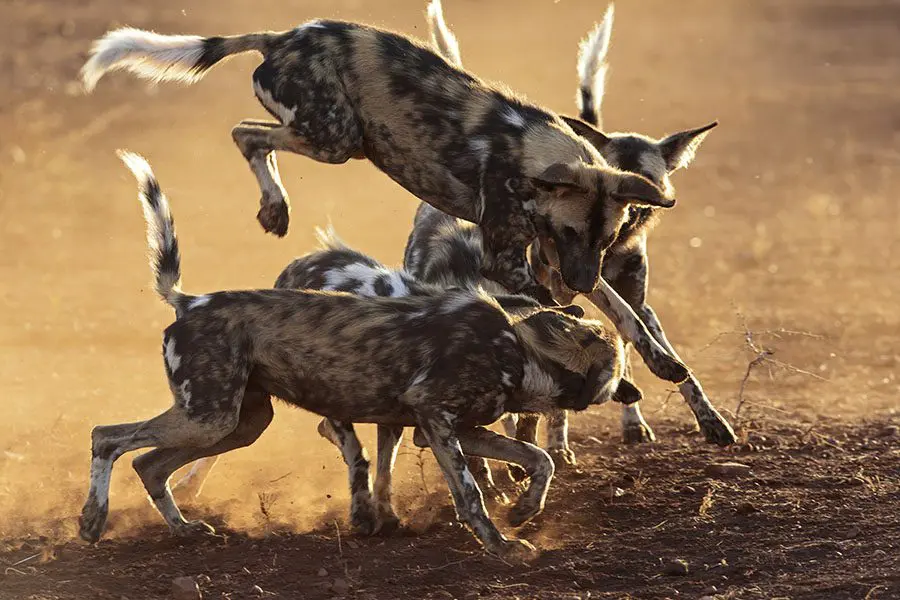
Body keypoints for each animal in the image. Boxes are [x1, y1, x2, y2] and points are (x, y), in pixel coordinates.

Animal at [81, 18, 676, 304]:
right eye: (575, 232)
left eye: (606, 239)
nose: (584, 281)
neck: (533, 153)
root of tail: (281, 37)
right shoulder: (506, 258)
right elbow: (538, 301)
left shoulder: (545, 252)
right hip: (336, 138)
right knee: (246, 134)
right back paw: (276, 207)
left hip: (329, 138)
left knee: (251, 136)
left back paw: (274, 210)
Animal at [81, 151, 648, 556]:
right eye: (618, 368)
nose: (634, 391)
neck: (520, 349)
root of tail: (191, 299)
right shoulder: (436, 422)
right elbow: (471, 493)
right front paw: (501, 544)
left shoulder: (451, 429)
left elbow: (538, 460)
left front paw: (522, 514)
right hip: (210, 417)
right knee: (107, 437)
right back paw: (92, 521)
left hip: (238, 422)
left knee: (150, 464)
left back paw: (182, 530)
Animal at [426, 0, 736, 454]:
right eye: (608, 178)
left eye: (642, 192)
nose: (622, 224)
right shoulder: (561, 290)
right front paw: (556, 437)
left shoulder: (636, 302)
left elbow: (645, 344)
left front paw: (706, 417)